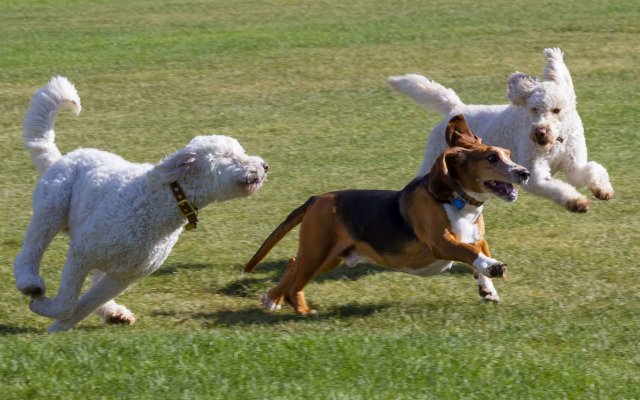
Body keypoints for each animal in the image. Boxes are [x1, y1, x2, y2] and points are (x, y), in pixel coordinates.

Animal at [13, 76, 268, 332]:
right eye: (228, 155)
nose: (264, 166)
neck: (162, 202)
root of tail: (62, 158)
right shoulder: (82, 252)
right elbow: (68, 302)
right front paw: (43, 309)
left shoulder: (125, 276)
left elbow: (82, 305)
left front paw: (56, 328)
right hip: (52, 209)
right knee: (30, 251)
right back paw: (30, 283)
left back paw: (114, 313)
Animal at [242, 114, 528, 314]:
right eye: (492, 158)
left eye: (508, 154)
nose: (524, 173)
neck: (461, 202)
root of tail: (317, 199)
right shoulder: (441, 243)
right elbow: (471, 253)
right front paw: (492, 266)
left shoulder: (475, 237)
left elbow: (479, 249)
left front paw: (487, 287)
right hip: (318, 251)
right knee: (296, 274)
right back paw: (299, 309)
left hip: (332, 256)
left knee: (293, 264)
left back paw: (273, 299)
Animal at [388, 47, 612, 212]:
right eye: (534, 109)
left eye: (556, 110)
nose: (539, 132)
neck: (555, 143)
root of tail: (456, 108)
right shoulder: (534, 173)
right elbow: (553, 185)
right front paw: (576, 202)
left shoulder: (573, 164)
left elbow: (593, 169)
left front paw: (603, 190)